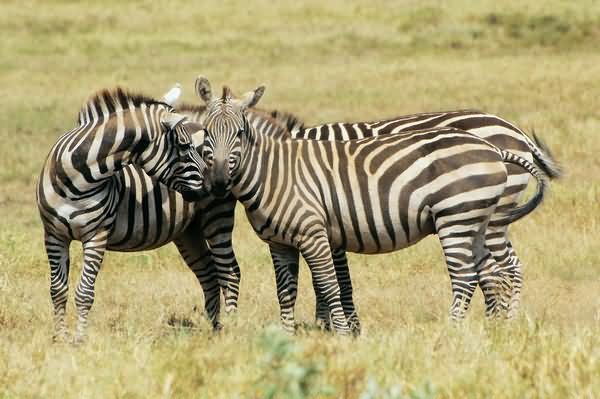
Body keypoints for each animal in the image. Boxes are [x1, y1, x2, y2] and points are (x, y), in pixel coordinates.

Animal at [35, 87, 209, 344]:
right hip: (188, 231)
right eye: (185, 147)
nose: (211, 185)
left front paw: (79, 340)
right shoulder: (53, 235)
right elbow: (57, 289)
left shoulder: (96, 236)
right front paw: (60, 337)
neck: (76, 178)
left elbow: (85, 292)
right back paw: (215, 326)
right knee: (210, 273)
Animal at [193, 77, 548, 334]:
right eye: (205, 134)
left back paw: (464, 330)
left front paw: (340, 329)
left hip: (469, 217)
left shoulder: (323, 232)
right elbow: (291, 290)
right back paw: (493, 326)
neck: (279, 168)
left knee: (482, 272)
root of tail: (508, 137)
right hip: (478, 220)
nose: (219, 183)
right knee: (492, 271)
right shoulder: (292, 240)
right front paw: (296, 335)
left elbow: (332, 284)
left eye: (240, 133)